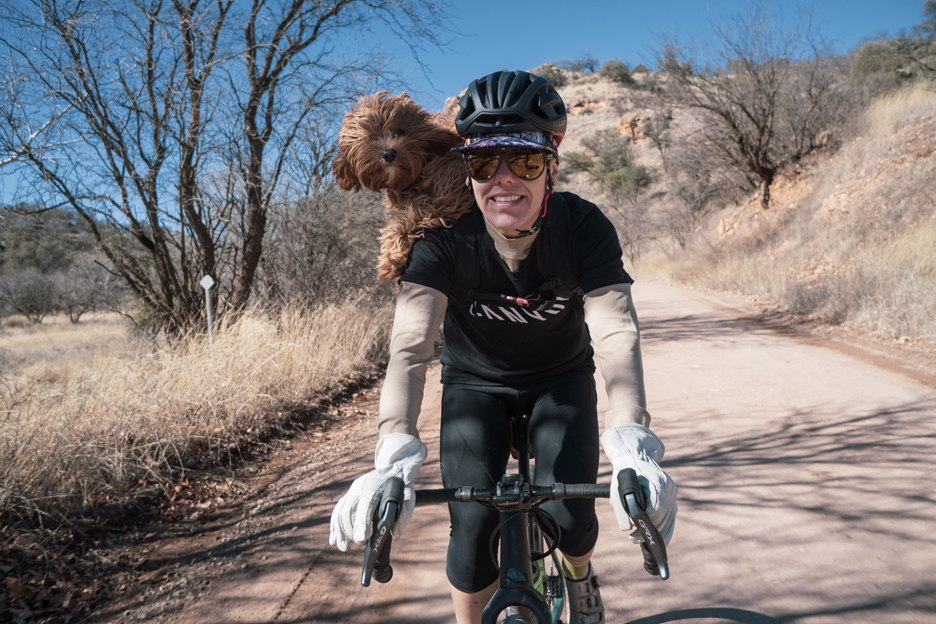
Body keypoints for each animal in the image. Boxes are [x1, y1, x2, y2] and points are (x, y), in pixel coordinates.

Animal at [330, 91, 476, 282]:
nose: (389, 153)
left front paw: (390, 258)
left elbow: (413, 213)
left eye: (400, 131)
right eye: (371, 138)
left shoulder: (449, 189)